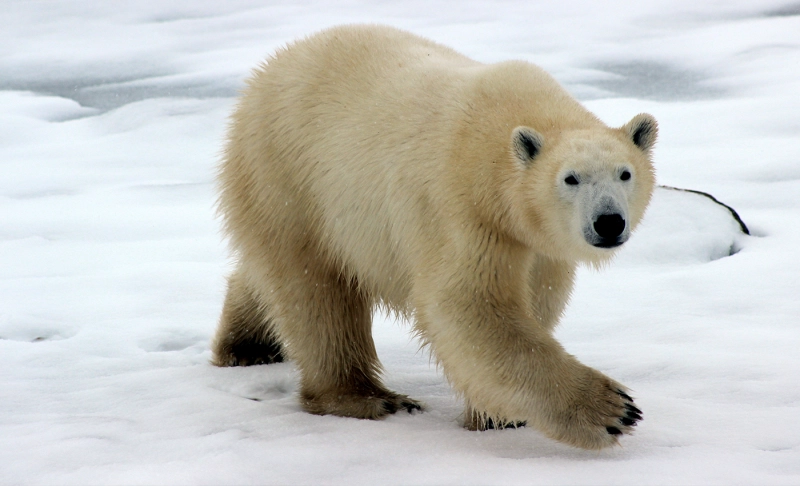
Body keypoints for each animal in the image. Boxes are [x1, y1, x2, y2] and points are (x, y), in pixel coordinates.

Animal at [212, 22, 656, 448]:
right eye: (571, 178)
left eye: (625, 173)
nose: (609, 221)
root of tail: (266, 71)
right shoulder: (463, 209)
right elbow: (467, 306)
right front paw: (612, 411)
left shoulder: (537, 243)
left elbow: (537, 297)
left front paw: (496, 415)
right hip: (288, 175)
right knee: (315, 292)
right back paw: (367, 397)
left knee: (270, 276)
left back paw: (248, 345)